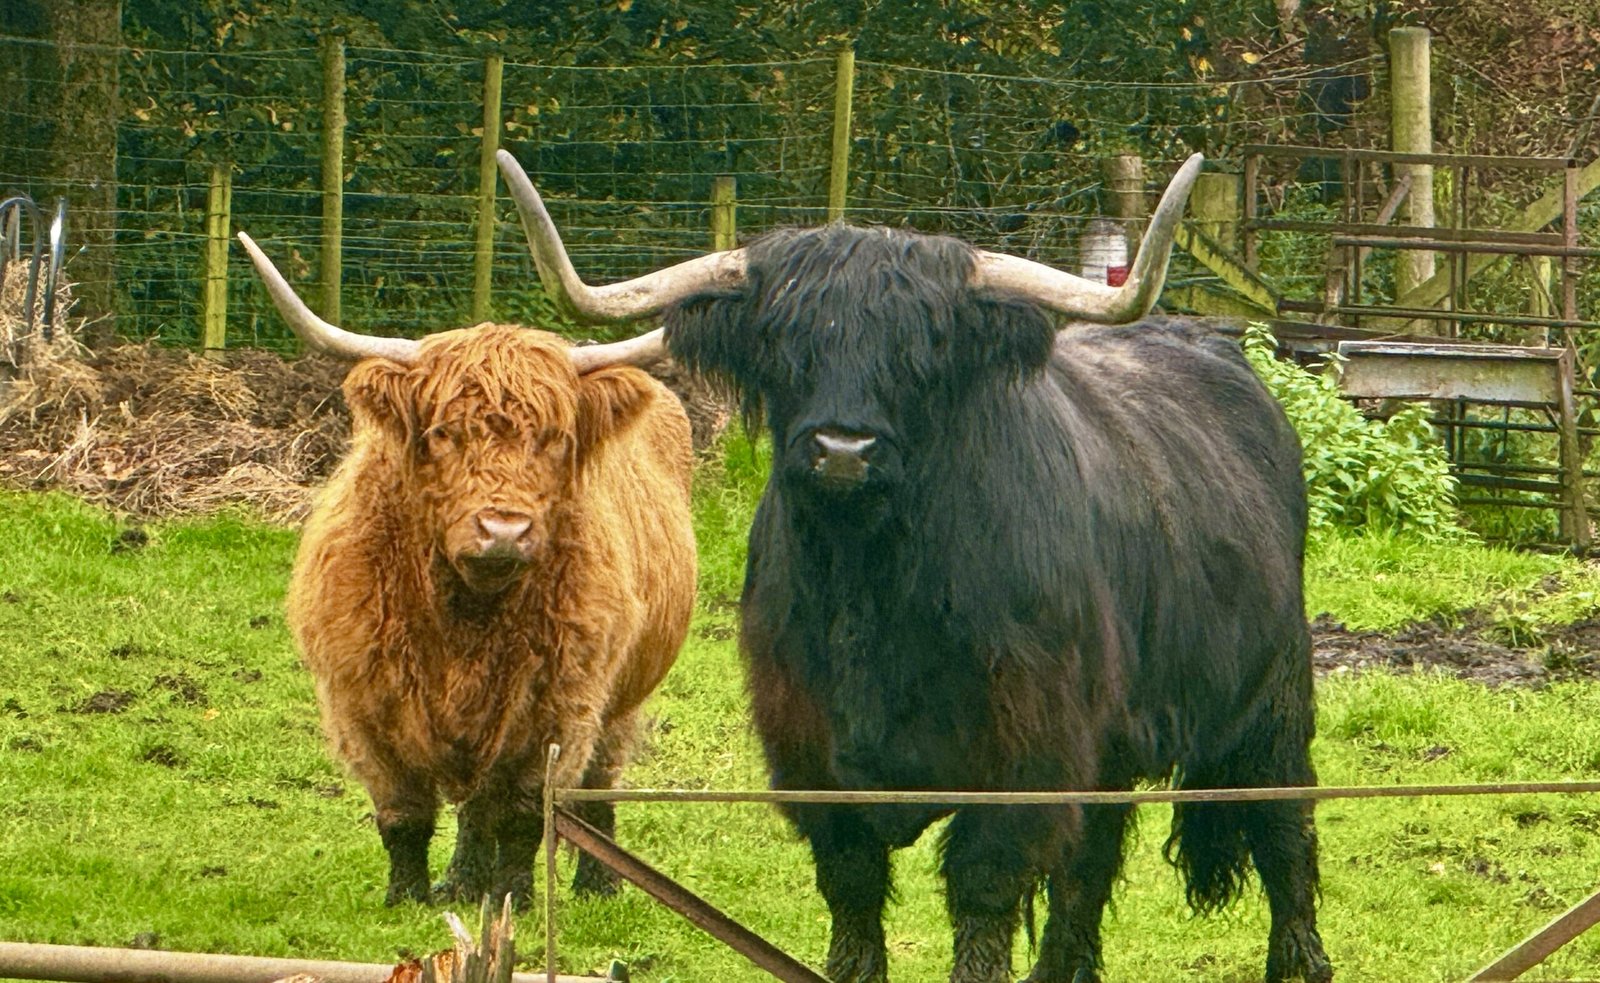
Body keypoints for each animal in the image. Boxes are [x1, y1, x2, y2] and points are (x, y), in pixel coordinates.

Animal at [235, 230, 697, 907]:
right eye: (443, 433)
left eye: (555, 437)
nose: (503, 529)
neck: (465, 616)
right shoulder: (362, 703)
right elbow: (403, 815)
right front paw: (407, 897)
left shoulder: (558, 707)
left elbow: (526, 815)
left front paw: (514, 899)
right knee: (477, 807)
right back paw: (460, 883)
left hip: (622, 696)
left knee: (594, 784)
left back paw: (596, 883)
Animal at [495, 150, 1331, 983]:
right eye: (785, 343)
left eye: (920, 350)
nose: (843, 448)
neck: (871, 586)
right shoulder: (808, 750)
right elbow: (853, 889)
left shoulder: (1025, 756)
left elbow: (983, 890)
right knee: (1092, 860)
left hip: (1274, 697)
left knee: (1283, 828)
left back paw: (1301, 960)